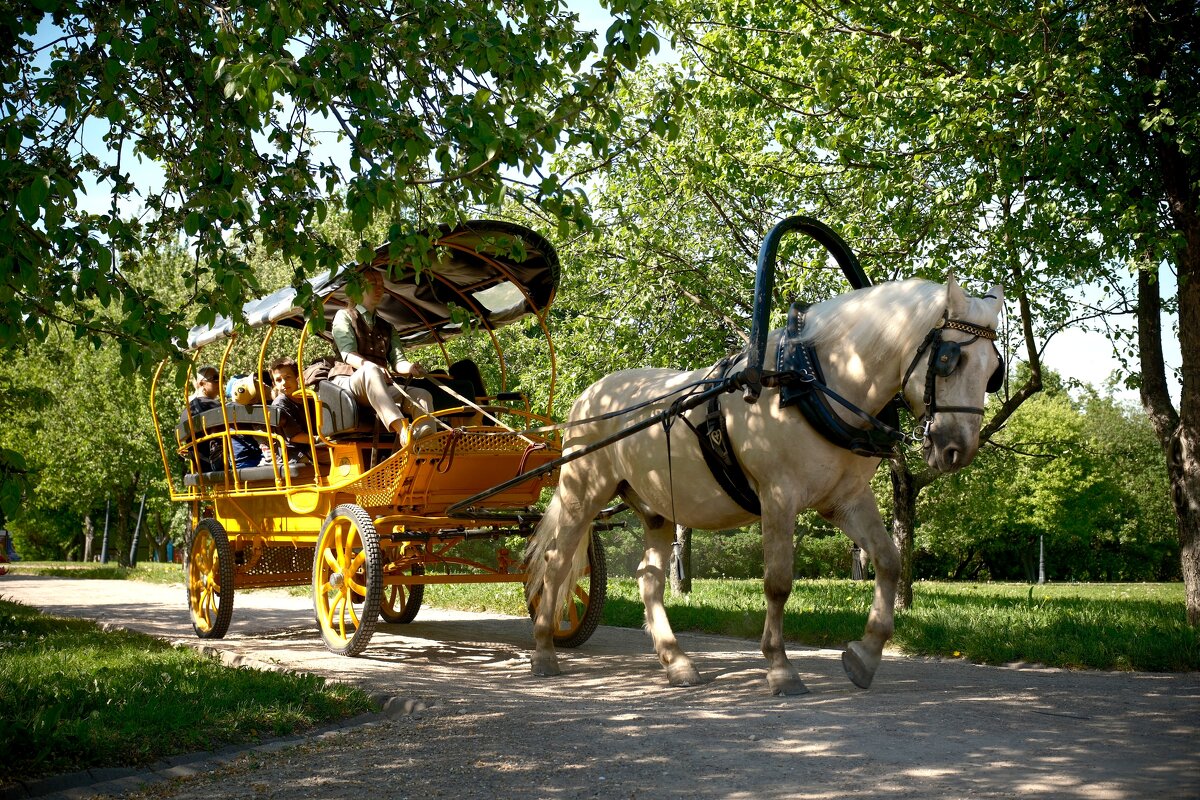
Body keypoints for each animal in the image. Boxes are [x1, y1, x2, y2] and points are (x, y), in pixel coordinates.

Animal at [525, 277, 1003, 695]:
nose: (957, 450)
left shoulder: (845, 500)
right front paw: (780, 667)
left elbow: (888, 561)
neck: (812, 380)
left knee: (649, 579)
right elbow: (778, 582)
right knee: (557, 563)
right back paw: (545, 650)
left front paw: (865, 656)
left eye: (994, 371)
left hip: (656, 508)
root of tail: (588, 397)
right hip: (582, 492)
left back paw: (676, 661)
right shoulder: (778, 497)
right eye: (949, 360)